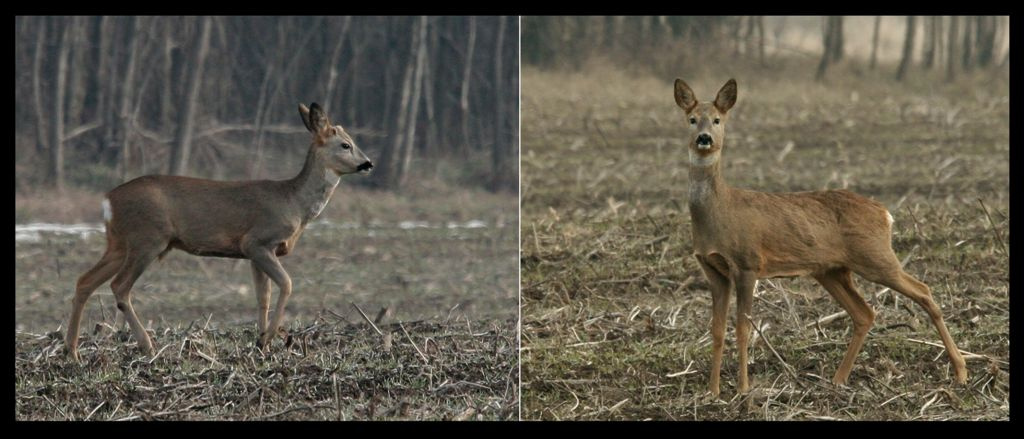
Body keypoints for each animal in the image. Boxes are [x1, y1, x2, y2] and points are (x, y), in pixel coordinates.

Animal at [62, 101, 372, 360]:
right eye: (345, 145)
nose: (368, 163)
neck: (293, 201)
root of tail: (108, 200)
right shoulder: (257, 241)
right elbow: (286, 284)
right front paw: (269, 337)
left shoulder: (256, 253)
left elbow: (263, 296)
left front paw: (261, 342)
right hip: (147, 239)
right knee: (119, 286)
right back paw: (147, 346)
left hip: (118, 243)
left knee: (84, 281)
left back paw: (72, 351)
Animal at [671, 78, 966, 397]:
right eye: (691, 119)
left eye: (717, 119)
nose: (704, 139)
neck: (720, 211)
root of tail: (885, 213)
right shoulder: (713, 269)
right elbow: (716, 329)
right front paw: (712, 392)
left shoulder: (747, 263)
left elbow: (743, 328)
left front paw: (743, 389)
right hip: (831, 270)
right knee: (864, 313)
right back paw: (838, 380)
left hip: (875, 257)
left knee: (923, 290)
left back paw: (961, 371)